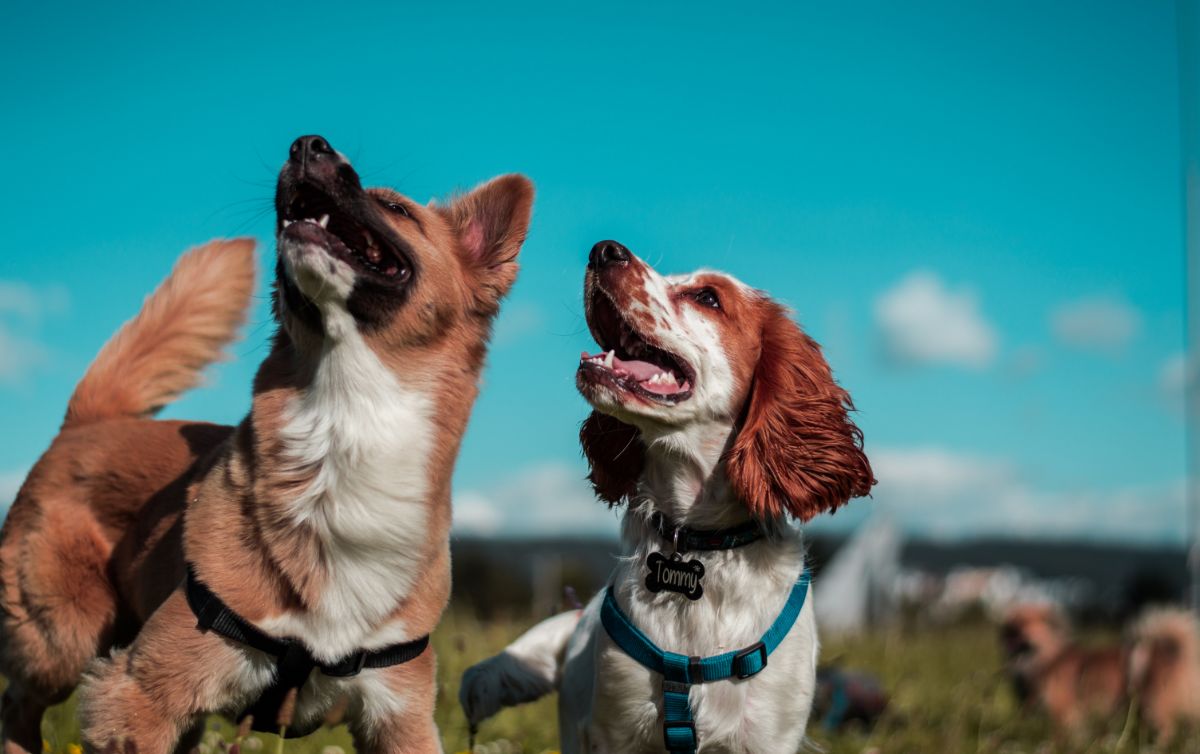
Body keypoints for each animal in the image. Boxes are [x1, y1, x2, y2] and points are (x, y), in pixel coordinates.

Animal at [0, 135, 535, 754]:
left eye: (395, 208)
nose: (308, 143)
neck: (345, 423)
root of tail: (90, 420)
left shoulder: (402, 716)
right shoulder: (139, 693)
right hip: (63, 640)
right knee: (18, 702)